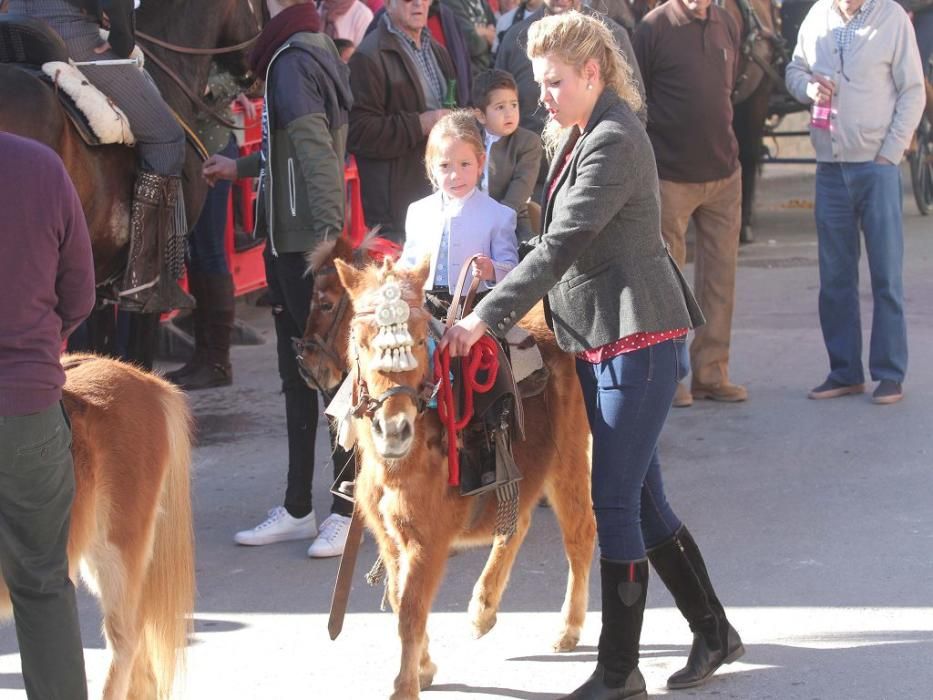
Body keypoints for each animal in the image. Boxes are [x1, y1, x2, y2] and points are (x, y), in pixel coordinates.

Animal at [332, 258, 592, 700]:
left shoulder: (428, 541)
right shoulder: (389, 537)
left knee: (579, 535)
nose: (394, 430)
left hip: (569, 462)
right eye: (361, 342)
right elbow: (397, 597)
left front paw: (406, 685)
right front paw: (423, 667)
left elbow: (411, 608)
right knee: (517, 523)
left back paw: (568, 628)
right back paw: (483, 610)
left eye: (421, 339)